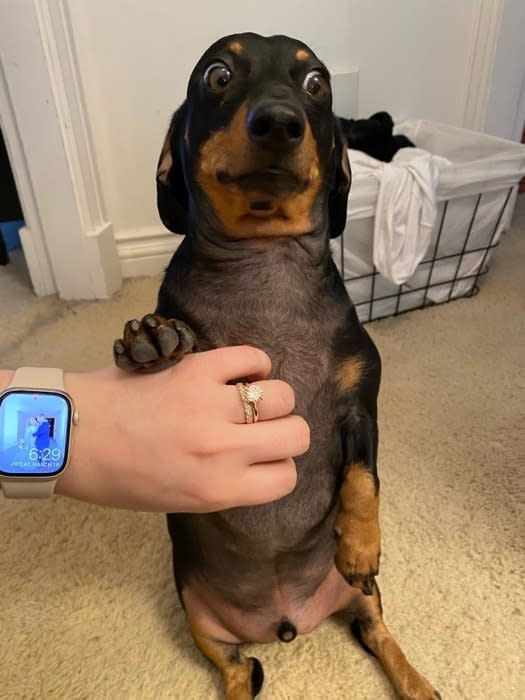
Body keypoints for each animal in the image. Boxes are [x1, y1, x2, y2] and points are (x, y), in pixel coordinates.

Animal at [113, 30, 438, 696]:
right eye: (217, 74)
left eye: (316, 84)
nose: (280, 122)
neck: (265, 263)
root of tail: (287, 619)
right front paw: (152, 337)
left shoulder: (360, 403)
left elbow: (362, 477)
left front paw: (360, 544)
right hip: (195, 611)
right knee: (236, 670)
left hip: (362, 600)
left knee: (376, 632)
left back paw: (417, 682)